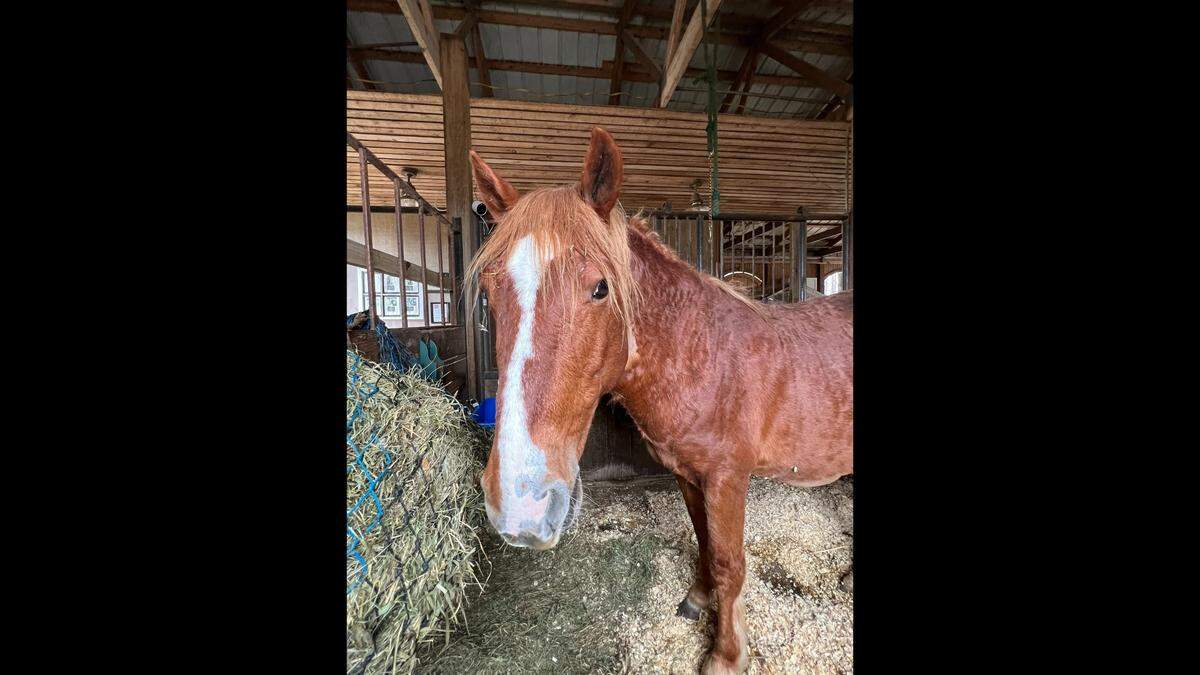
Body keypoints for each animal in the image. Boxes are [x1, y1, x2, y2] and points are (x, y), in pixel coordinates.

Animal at [466, 127, 853, 674]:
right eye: (490, 291)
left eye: (599, 288)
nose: (521, 506)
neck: (703, 354)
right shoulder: (688, 475)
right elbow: (704, 542)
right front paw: (698, 599)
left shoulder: (728, 478)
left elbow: (729, 562)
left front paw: (726, 655)